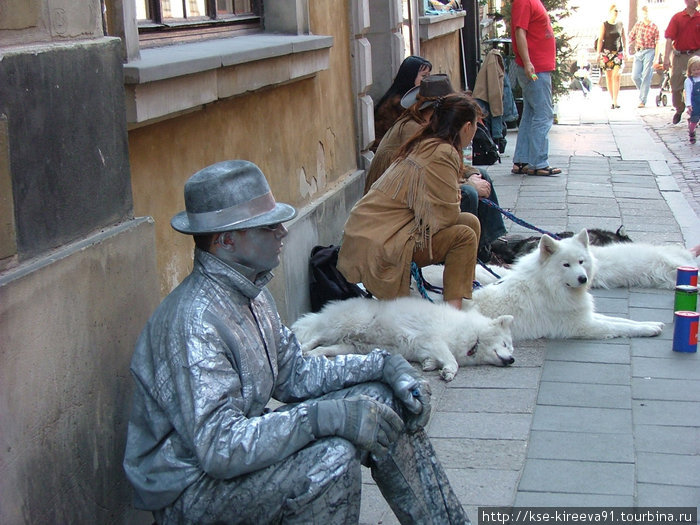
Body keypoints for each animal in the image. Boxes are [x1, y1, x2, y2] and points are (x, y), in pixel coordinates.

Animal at [290, 294, 516, 380]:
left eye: (511, 348)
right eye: (506, 344)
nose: (512, 360)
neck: (473, 336)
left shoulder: (426, 347)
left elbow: (433, 359)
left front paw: (430, 365)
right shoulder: (434, 340)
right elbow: (451, 359)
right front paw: (449, 371)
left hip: (350, 346)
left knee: (324, 347)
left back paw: (312, 355)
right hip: (350, 324)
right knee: (317, 337)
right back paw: (303, 348)